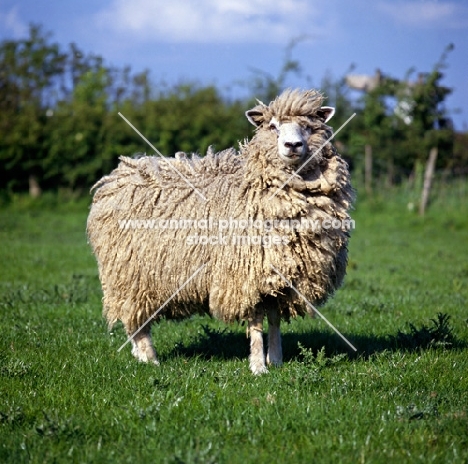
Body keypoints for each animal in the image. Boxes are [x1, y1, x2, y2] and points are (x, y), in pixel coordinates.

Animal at [87, 89, 354, 376]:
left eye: (308, 126)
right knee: (136, 318)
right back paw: (150, 358)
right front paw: (258, 366)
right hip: (129, 274)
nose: (292, 145)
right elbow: (256, 323)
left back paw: (139, 356)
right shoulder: (244, 274)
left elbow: (274, 320)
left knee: (134, 319)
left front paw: (276, 360)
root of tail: (121, 173)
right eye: (273, 127)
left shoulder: (279, 278)